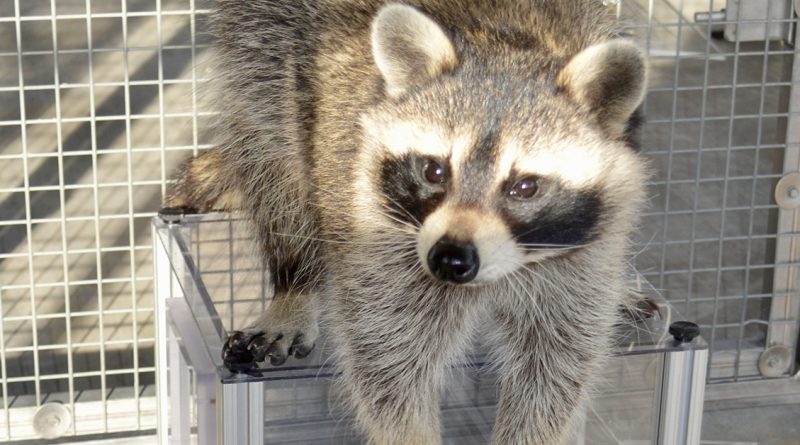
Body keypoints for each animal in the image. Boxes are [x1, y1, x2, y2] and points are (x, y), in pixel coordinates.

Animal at [166, 0, 648, 443]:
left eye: (525, 187)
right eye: (434, 170)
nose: (450, 259)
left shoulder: (583, 259)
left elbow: (557, 363)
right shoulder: (374, 235)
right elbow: (389, 363)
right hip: (263, 49)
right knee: (274, 160)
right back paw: (295, 282)